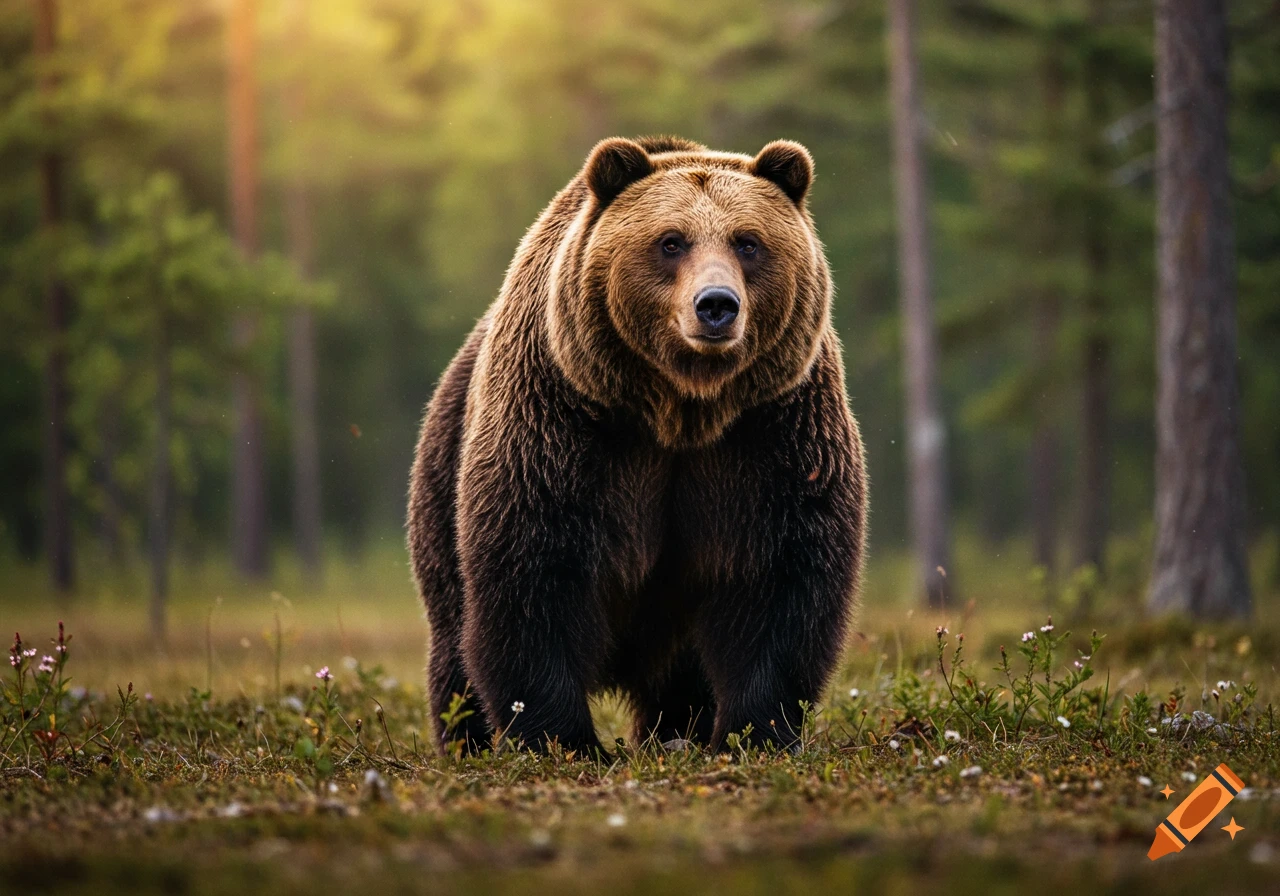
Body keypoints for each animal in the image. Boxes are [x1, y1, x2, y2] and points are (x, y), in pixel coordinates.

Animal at [408, 135, 867, 755]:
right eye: (671, 241)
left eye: (747, 242)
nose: (716, 304)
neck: (682, 409)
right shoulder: (564, 422)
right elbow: (535, 573)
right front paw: (562, 738)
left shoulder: (773, 432)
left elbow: (781, 577)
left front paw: (755, 731)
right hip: (443, 468)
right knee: (452, 635)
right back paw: (465, 737)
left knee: (681, 675)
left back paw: (677, 732)